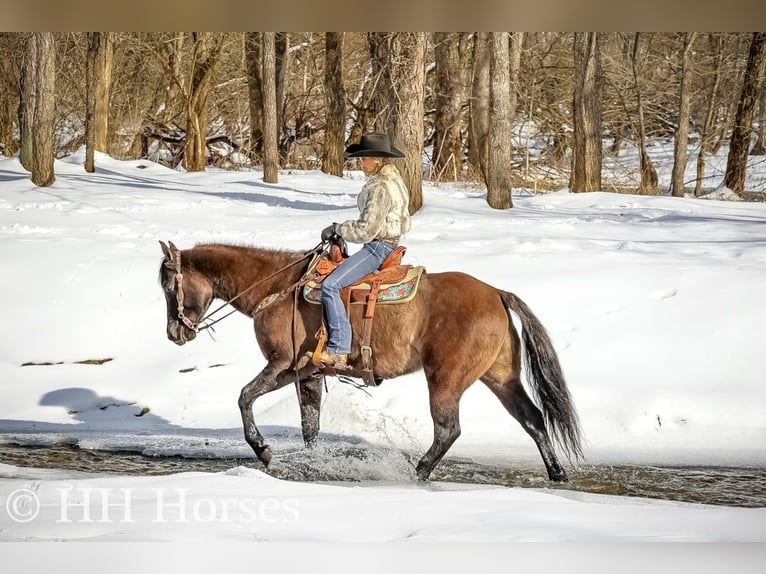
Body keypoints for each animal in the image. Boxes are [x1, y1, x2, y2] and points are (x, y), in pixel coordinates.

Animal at [159, 241, 584, 484]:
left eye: (168, 284)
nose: (174, 333)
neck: (278, 288)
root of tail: (496, 292)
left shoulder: (284, 366)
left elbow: (245, 396)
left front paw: (262, 449)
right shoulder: (308, 374)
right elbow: (310, 427)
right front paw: (313, 464)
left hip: (445, 379)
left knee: (448, 430)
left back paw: (417, 473)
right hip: (500, 378)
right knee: (533, 419)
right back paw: (557, 474)